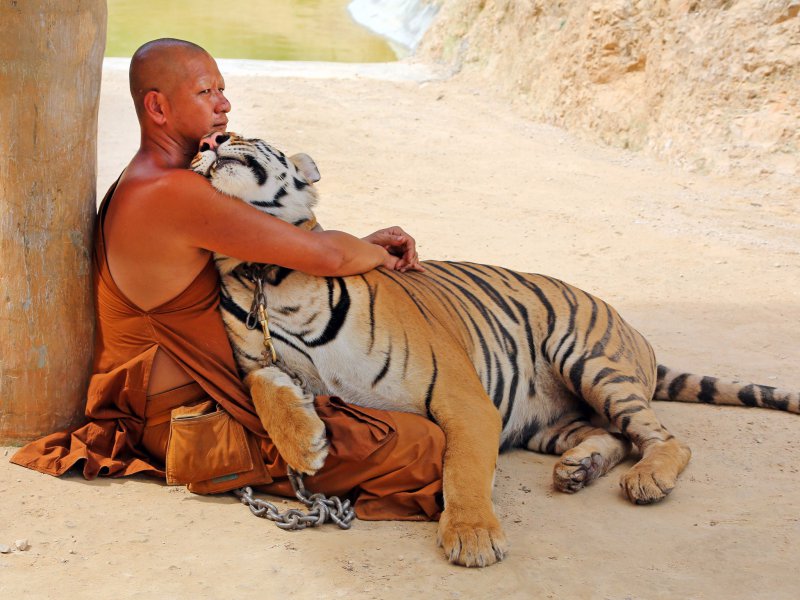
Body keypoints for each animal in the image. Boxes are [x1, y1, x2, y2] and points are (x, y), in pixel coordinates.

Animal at [189, 130, 800, 568]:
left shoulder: (462, 397)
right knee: (614, 436)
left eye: (243, 134)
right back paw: (578, 469)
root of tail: (636, 334)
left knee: (662, 438)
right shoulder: (257, 359)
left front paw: (473, 536)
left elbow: (462, 469)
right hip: (548, 422)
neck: (264, 271)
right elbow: (264, 387)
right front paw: (306, 445)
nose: (210, 142)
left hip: (588, 360)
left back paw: (646, 480)